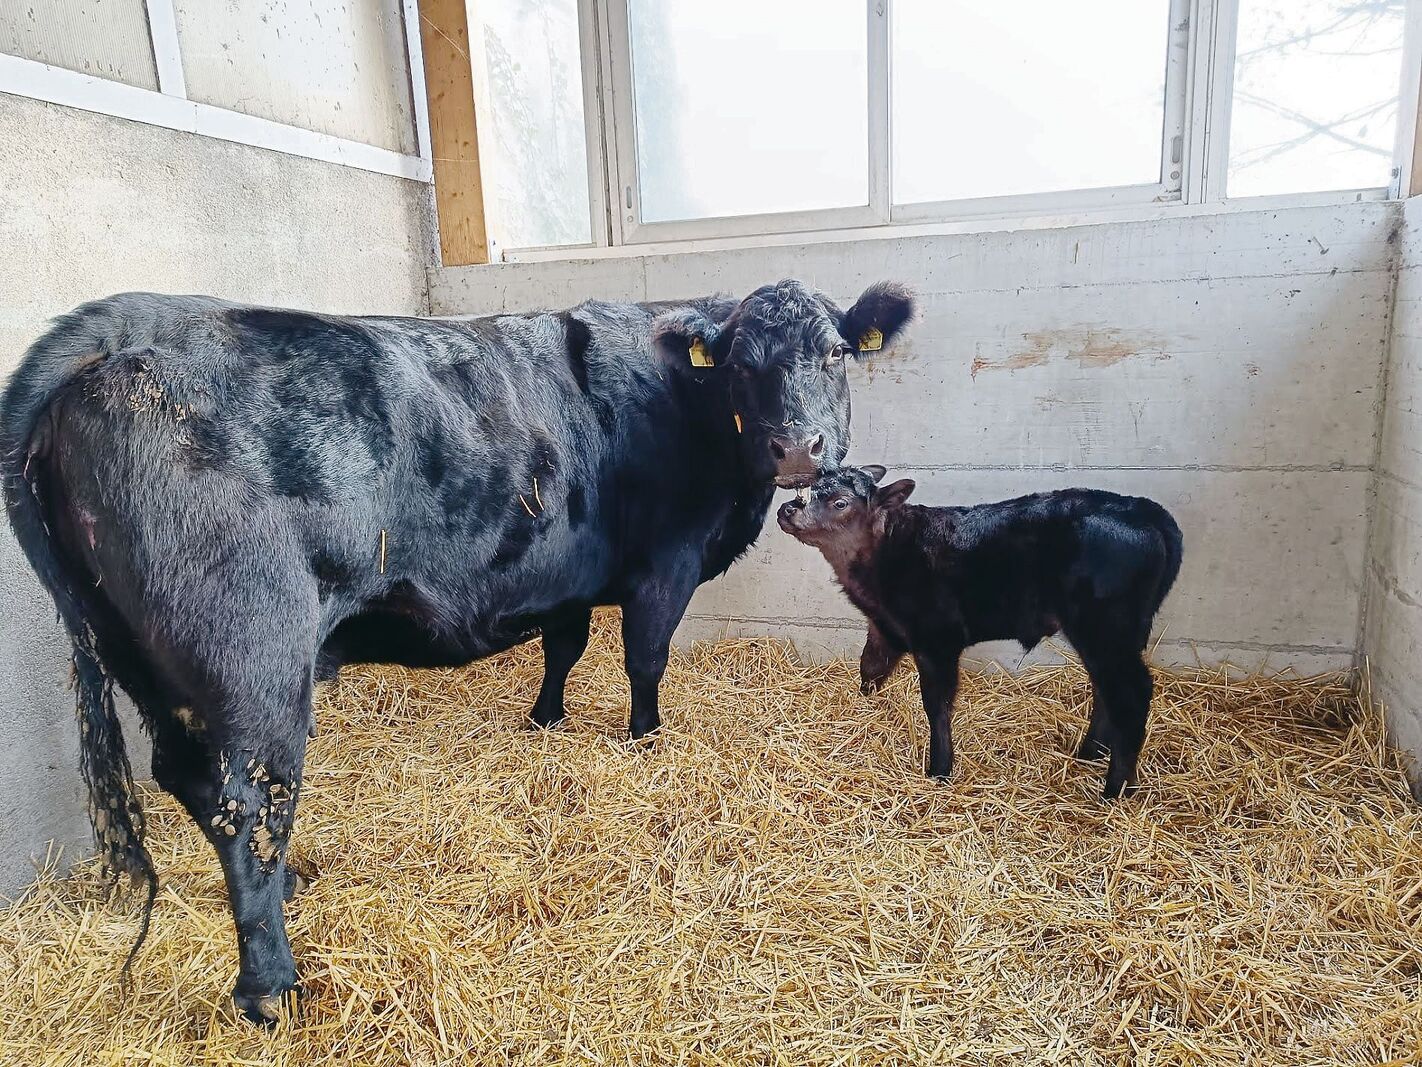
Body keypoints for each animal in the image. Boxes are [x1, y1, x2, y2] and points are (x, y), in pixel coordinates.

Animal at [0, 280, 915, 1022]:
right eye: (742, 365)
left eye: (835, 351)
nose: (798, 447)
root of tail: (126, 329)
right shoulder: (666, 563)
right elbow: (644, 658)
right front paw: (646, 738)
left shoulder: (567, 573)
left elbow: (564, 645)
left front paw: (545, 718)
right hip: (251, 655)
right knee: (248, 799)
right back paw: (271, 987)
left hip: (144, 659)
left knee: (192, 781)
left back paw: (286, 887)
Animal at [776, 466, 1183, 799]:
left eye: (840, 502)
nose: (786, 510)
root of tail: (1147, 511)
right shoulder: (884, 627)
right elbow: (870, 669)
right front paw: (863, 711)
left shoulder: (936, 639)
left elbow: (936, 704)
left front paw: (939, 768)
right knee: (1104, 688)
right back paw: (1088, 753)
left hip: (1106, 629)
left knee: (1130, 693)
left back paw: (1116, 789)